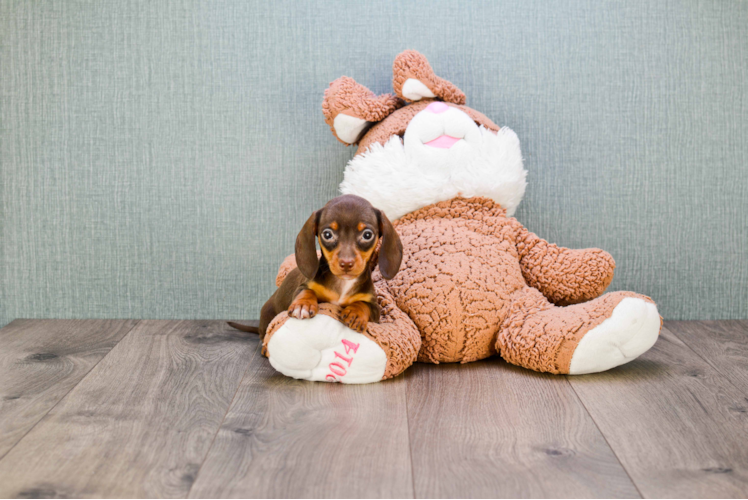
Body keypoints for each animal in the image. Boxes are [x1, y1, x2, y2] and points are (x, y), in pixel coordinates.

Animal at [228, 195, 404, 340]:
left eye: (367, 235)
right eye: (327, 234)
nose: (346, 263)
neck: (342, 284)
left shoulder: (375, 308)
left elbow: (363, 304)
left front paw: (355, 312)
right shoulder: (303, 286)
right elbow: (307, 291)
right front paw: (303, 305)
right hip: (267, 315)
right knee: (264, 335)